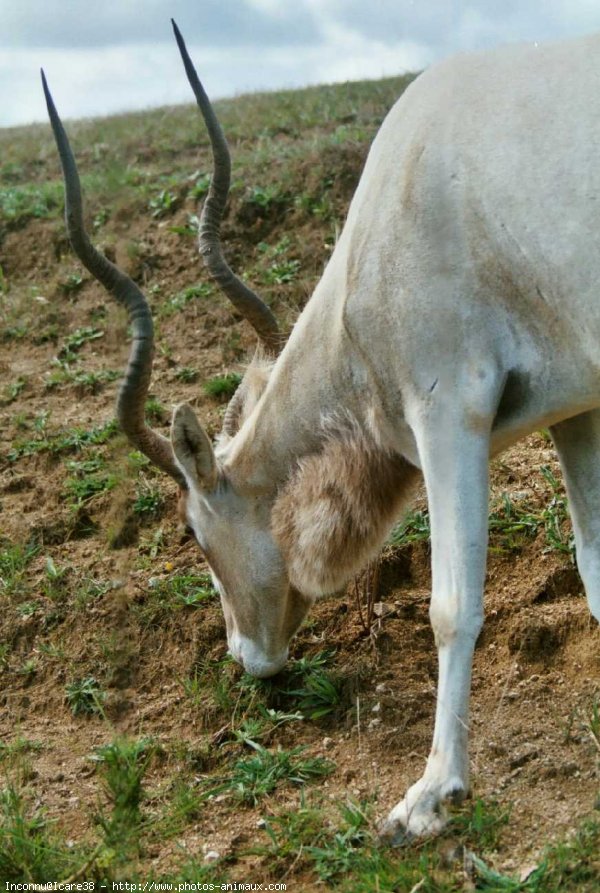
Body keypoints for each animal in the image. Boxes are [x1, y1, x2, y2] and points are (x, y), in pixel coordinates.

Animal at [43, 24, 600, 840]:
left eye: (191, 533)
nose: (248, 657)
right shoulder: (575, 409)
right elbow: (594, 566)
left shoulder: (449, 412)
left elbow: (450, 608)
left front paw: (431, 795)